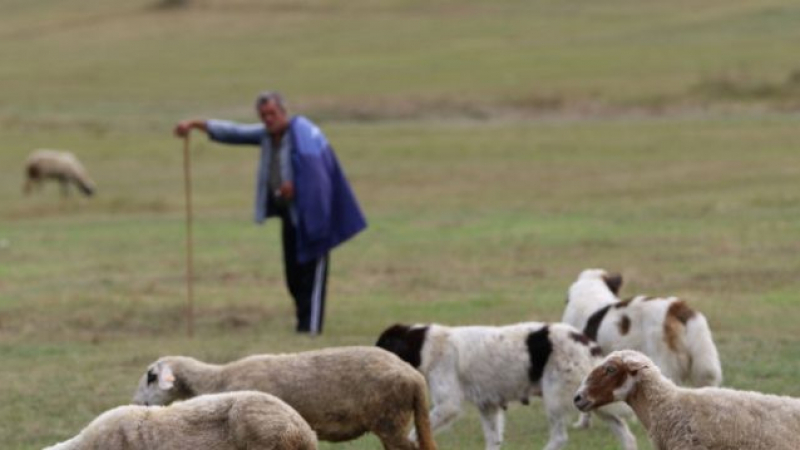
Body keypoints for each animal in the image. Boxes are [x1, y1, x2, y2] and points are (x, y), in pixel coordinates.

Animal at [376, 322, 636, 450]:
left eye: (383, 347)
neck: (423, 343)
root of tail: (586, 343)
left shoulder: (448, 404)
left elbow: (413, 434)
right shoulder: (488, 406)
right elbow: (493, 441)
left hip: (557, 398)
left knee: (560, 438)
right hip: (594, 400)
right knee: (626, 435)